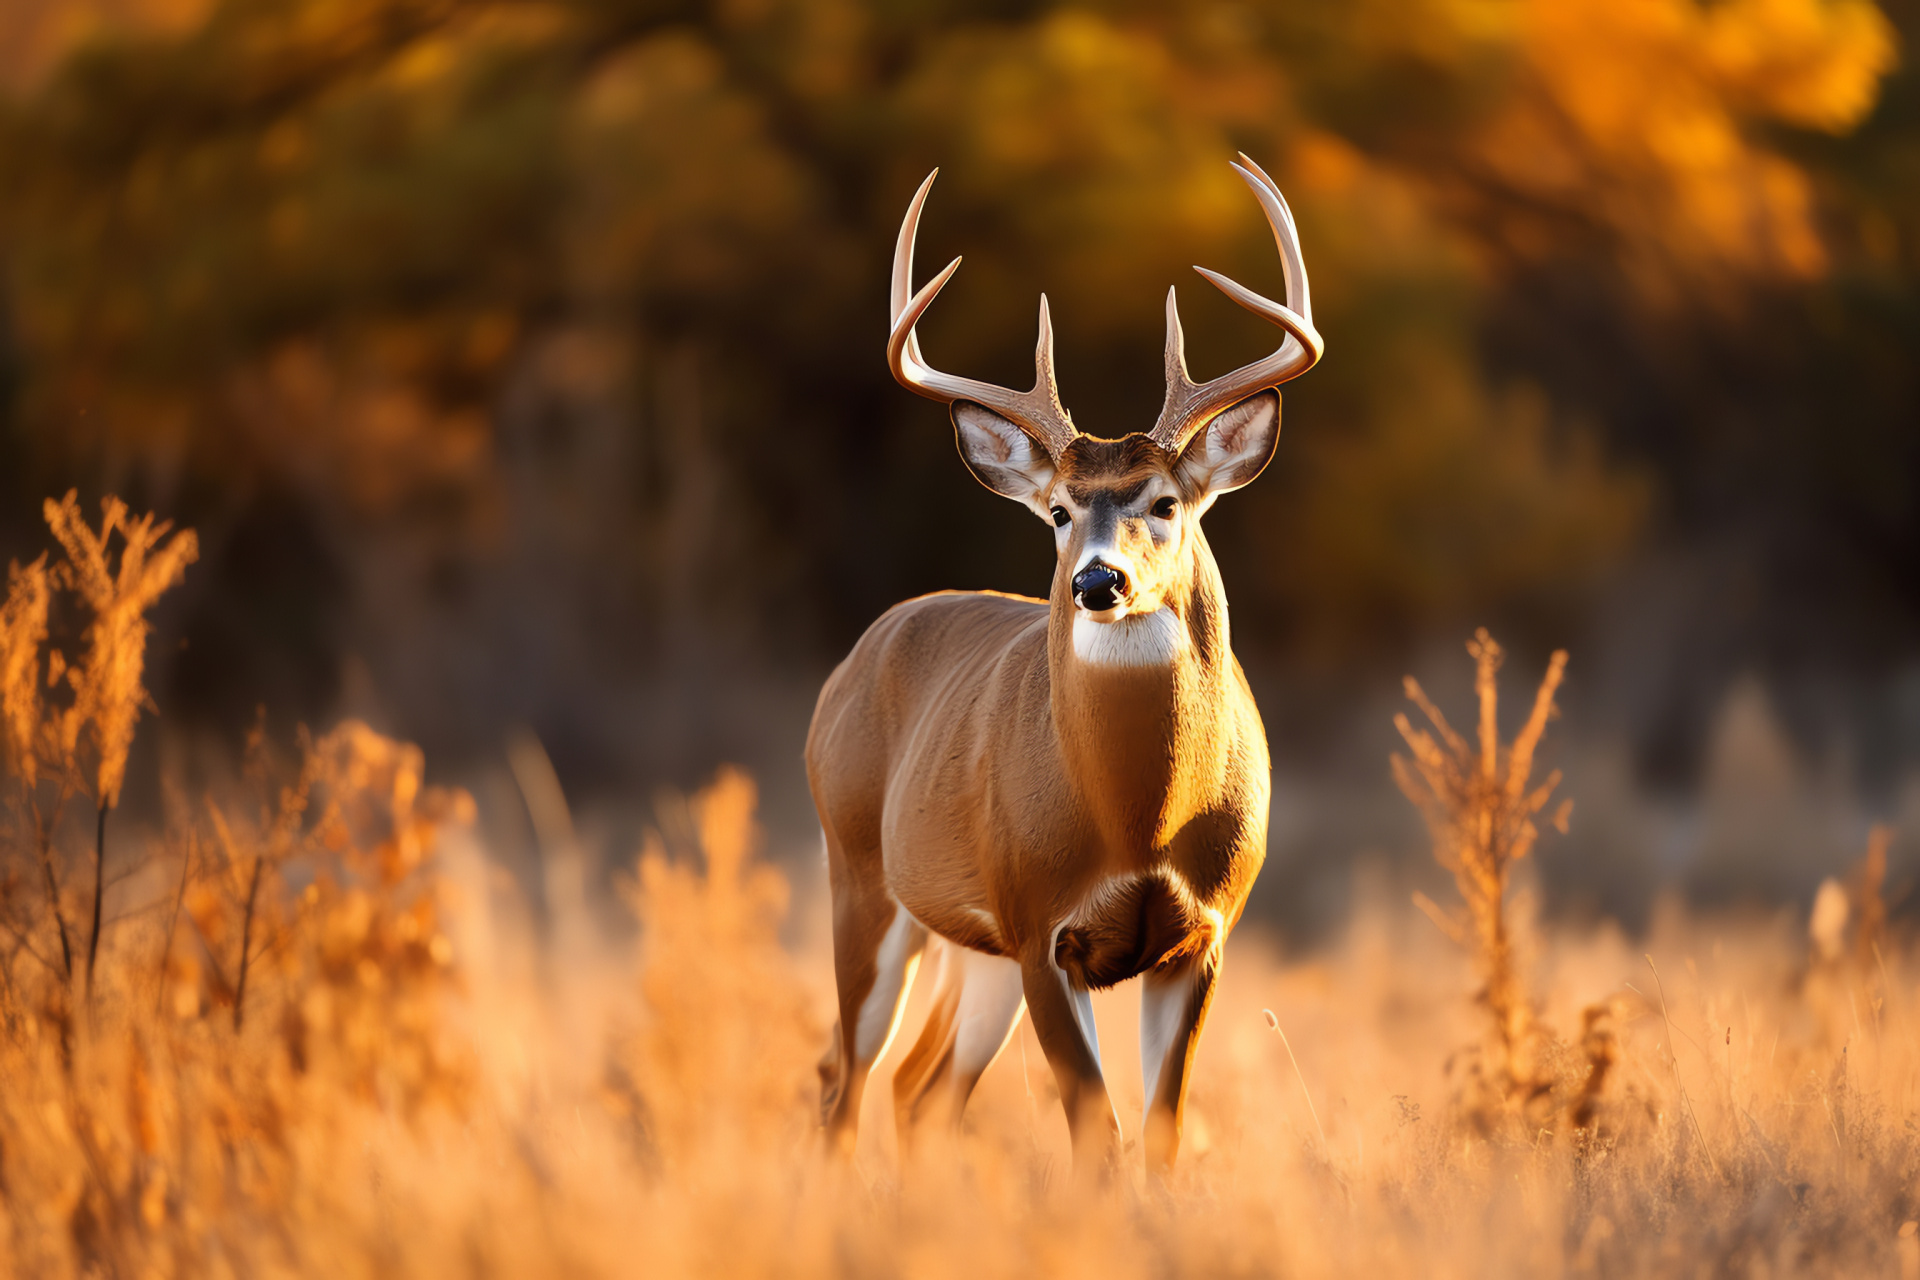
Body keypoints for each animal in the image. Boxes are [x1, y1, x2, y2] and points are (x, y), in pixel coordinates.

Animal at [806, 155, 1320, 1174]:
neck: (1139, 822)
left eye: (1165, 502)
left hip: (974, 951)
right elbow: (1097, 1137)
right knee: (844, 1083)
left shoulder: (1201, 936)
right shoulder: (1043, 929)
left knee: (916, 1088)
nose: (1096, 580)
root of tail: (847, 669)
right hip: (863, 882)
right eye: (1057, 511)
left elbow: (1158, 1134)